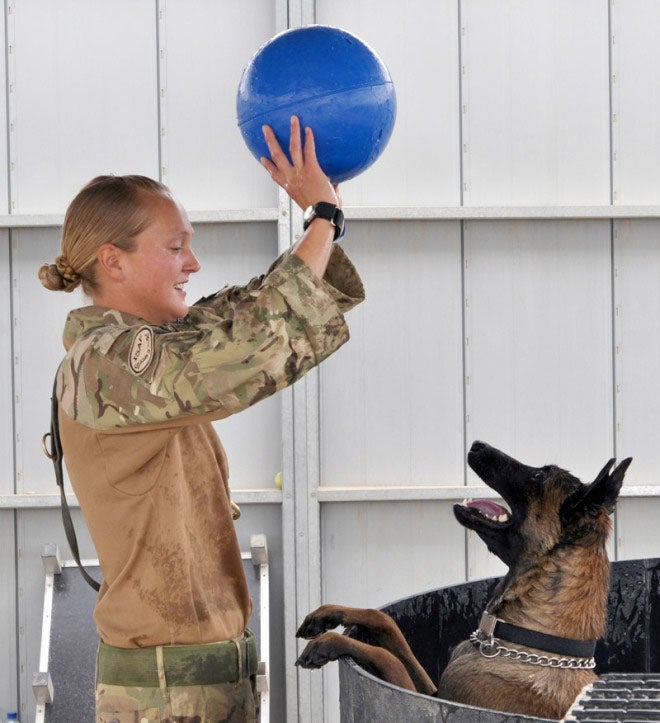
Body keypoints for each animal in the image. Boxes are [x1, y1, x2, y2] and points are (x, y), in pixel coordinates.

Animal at [296, 442, 632, 720]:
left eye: (538, 476)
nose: (476, 445)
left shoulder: (439, 700)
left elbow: (387, 657)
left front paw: (330, 642)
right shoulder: (435, 693)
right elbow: (387, 623)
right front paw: (328, 615)